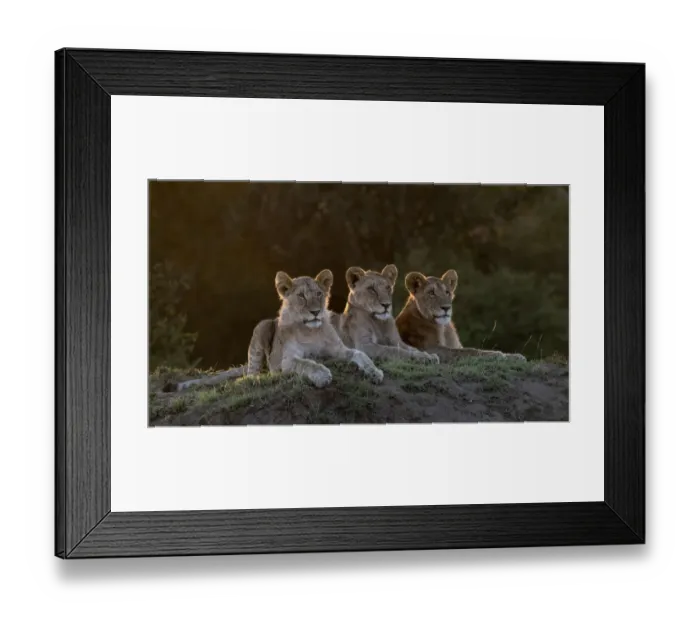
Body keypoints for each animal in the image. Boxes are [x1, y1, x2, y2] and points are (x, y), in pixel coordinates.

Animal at [171, 269, 383, 391]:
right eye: (301, 296)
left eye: (318, 294)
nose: (315, 312)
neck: (311, 331)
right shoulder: (286, 361)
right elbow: (306, 363)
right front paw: (322, 375)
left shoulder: (339, 350)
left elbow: (360, 354)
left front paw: (375, 372)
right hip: (262, 328)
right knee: (251, 371)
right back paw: (257, 378)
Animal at [395, 269, 526, 362]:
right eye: (431, 293)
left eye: (447, 292)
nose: (446, 307)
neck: (443, 328)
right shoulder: (429, 348)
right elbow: (467, 352)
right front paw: (499, 355)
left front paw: (516, 356)